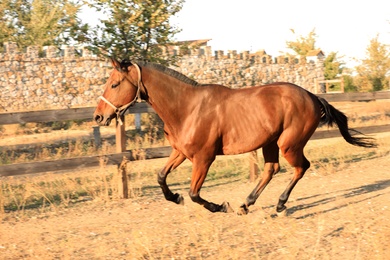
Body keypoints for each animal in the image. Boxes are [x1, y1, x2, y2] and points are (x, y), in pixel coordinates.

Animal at [93, 59, 376, 215]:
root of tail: (312, 96)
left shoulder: (204, 158)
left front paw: (221, 206)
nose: (98, 117)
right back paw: (246, 205)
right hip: (270, 143)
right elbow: (161, 177)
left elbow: (195, 193)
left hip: (289, 144)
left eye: (115, 84)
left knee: (300, 167)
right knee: (271, 169)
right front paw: (176, 197)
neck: (187, 107)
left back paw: (279, 205)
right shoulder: (181, 152)